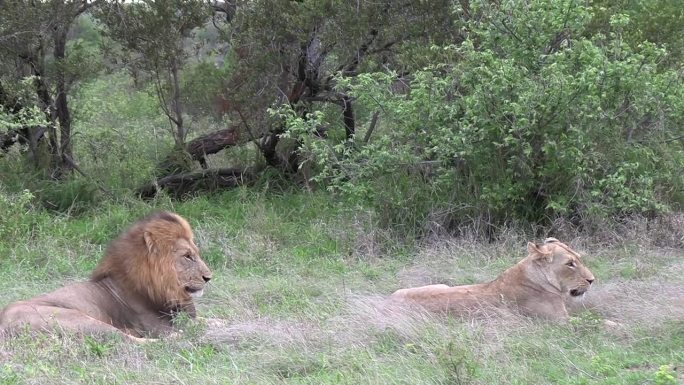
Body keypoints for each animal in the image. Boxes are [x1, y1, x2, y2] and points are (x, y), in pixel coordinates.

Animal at [0, 212, 212, 340]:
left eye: (196, 253)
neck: (169, 289)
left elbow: (211, 320)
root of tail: (3, 321)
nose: (209, 278)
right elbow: (192, 328)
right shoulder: (158, 326)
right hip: (84, 321)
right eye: (187, 256)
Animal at [390, 237, 592, 318]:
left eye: (578, 259)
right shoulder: (559, 323)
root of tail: (387, 303)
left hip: (440, 285)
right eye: (570, 264)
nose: (592, 280)